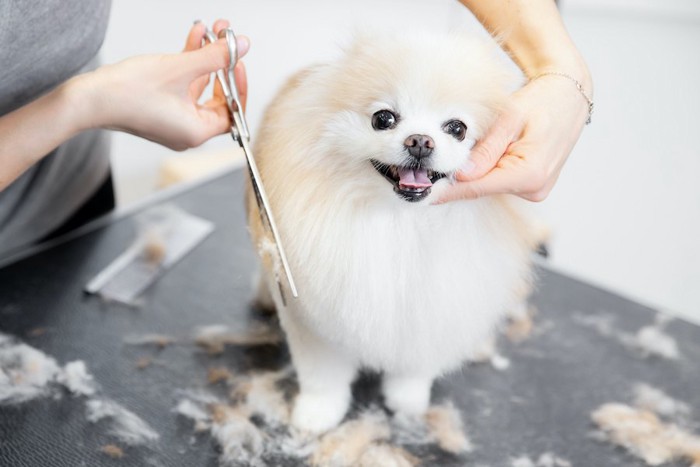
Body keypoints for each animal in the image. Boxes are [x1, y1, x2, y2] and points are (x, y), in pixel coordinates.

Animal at [249, 30, 540, 436]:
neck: (401, 222)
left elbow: (414, 369)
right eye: (383, 118)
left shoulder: (433, 308)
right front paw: (317, 414)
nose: (420, 140)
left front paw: (407, 401)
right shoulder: (314, 317)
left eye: (457, 128)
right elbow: (323, 375)